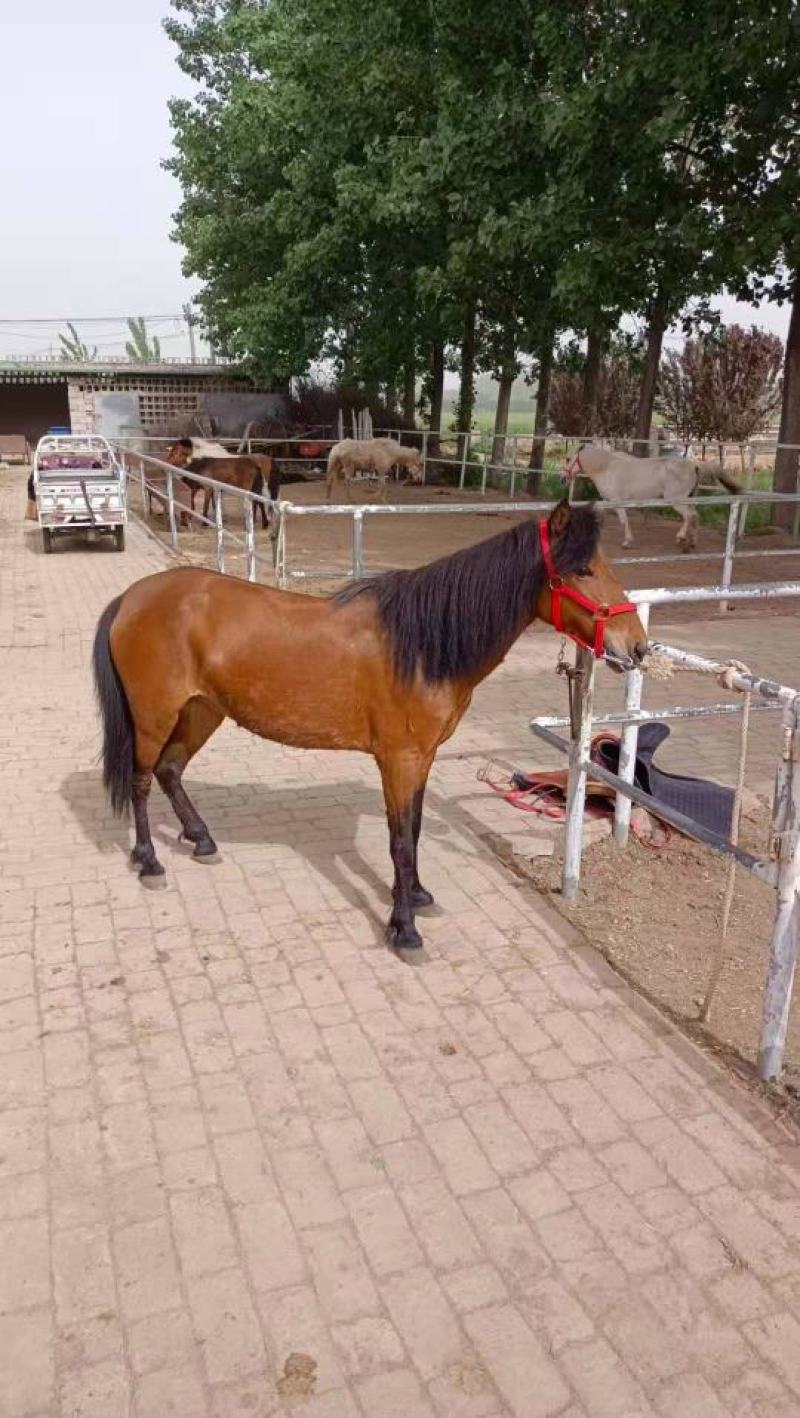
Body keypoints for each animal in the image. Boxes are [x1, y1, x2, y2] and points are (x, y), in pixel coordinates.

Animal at [92, 501, 646, 955]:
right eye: (583, 568)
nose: (638, 646)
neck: (421, 644)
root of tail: (130, 598)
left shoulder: (422, 757)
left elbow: (414, 830)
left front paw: (416, 895)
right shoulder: (398, 758)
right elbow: (399, 840)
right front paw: (404, 930)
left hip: (201, 711)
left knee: (170, 771)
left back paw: (201, 840)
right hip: (154, 717)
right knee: (141, 780)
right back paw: (149, 861)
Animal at [562, 443, 741, 551]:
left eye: (568, 458)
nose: (563, 479)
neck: (606, 468)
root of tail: (694, 465)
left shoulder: (617, 502)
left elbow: (623, 521)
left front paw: (627, 542)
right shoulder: (607, 501)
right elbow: (601, 516)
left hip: (675, 500)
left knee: (690, 516)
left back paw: (681, 538)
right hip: (689, 498)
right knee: (695, 516)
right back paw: (692, 543)